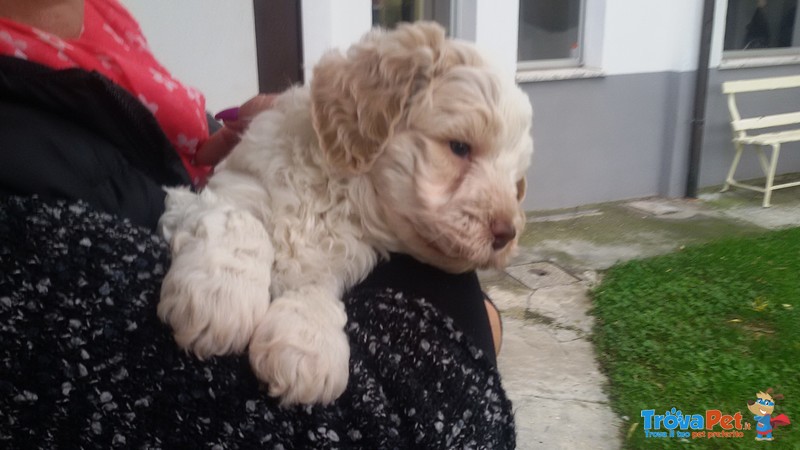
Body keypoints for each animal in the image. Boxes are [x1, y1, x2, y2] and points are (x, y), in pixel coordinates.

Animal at [158, 22, 532, 406]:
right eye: (459, 147)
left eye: (516, 181)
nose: (506, 234)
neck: (340, 192)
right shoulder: (221, 189)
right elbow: (240, 223)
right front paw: (220, 296)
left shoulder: (340, 253)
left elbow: (316, 284)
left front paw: (308, 344)